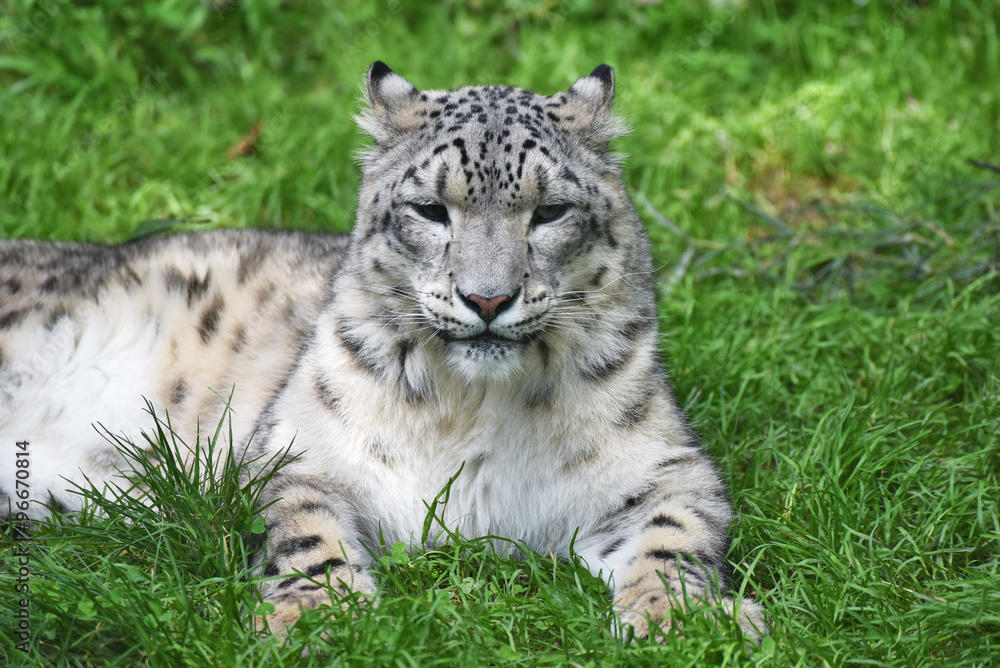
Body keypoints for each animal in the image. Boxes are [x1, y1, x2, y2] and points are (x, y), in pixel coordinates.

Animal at [0, 62, 765, 641]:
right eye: (430, 209)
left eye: (549, 212)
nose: (488, 299)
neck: (474, 409)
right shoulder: (300, 455)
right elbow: (307, 531)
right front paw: (316, 617)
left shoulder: (661, 467)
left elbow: (673, 534)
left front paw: (682, 620)